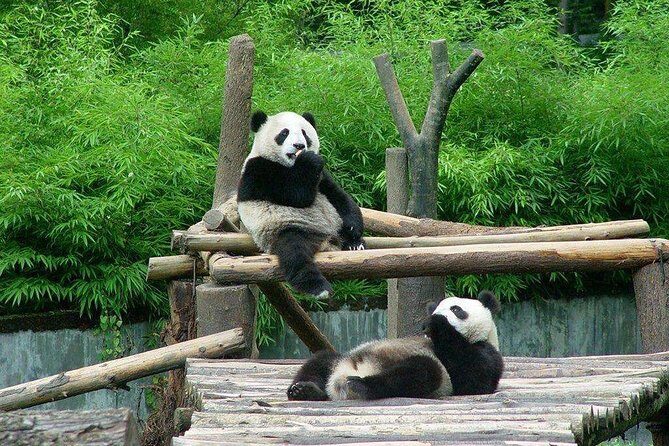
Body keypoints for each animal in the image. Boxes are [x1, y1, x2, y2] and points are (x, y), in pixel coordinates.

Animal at [237, 111, 365, 299]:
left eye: (305, 133)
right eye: (284, 133)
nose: (299, 145)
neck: (291, 165)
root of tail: (327, 241)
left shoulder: (323, 177)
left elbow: (339, 197)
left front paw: (353, 229)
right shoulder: (258, 171)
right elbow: (298, 194)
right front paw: (309, 160)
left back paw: (354, 244)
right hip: (287, 230)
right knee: (295, 255)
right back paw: (319, 288)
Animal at [287, 290, 503, 401]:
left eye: (457, 309)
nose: (434, 316)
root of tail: (339, 381)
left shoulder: (484, 352)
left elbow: (472, 378)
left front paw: (438, 324)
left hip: (432, 376)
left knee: (421, 371)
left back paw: (362, 385)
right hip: (341, 358)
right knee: (320, 360)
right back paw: (305, 390)